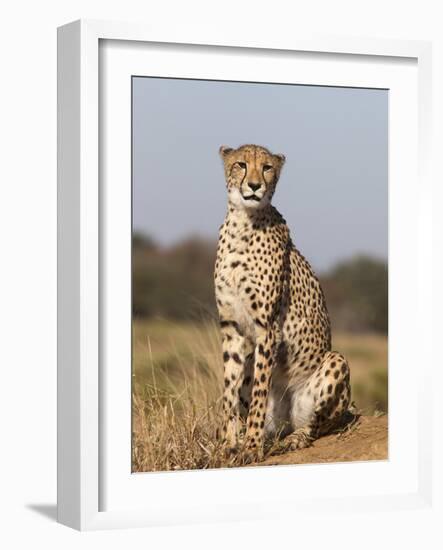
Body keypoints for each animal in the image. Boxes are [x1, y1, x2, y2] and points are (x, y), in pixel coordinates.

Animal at [214, 143, 350, 462]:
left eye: (267, 168)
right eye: (240, 164)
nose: (254, 186)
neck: (243, 222)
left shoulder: (267, 329)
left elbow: (259, 395)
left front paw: (251, 449)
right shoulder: (232, 328)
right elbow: (229, 391)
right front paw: (229, 445)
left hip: (334, 362)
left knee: (315, 426)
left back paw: (293, 439)